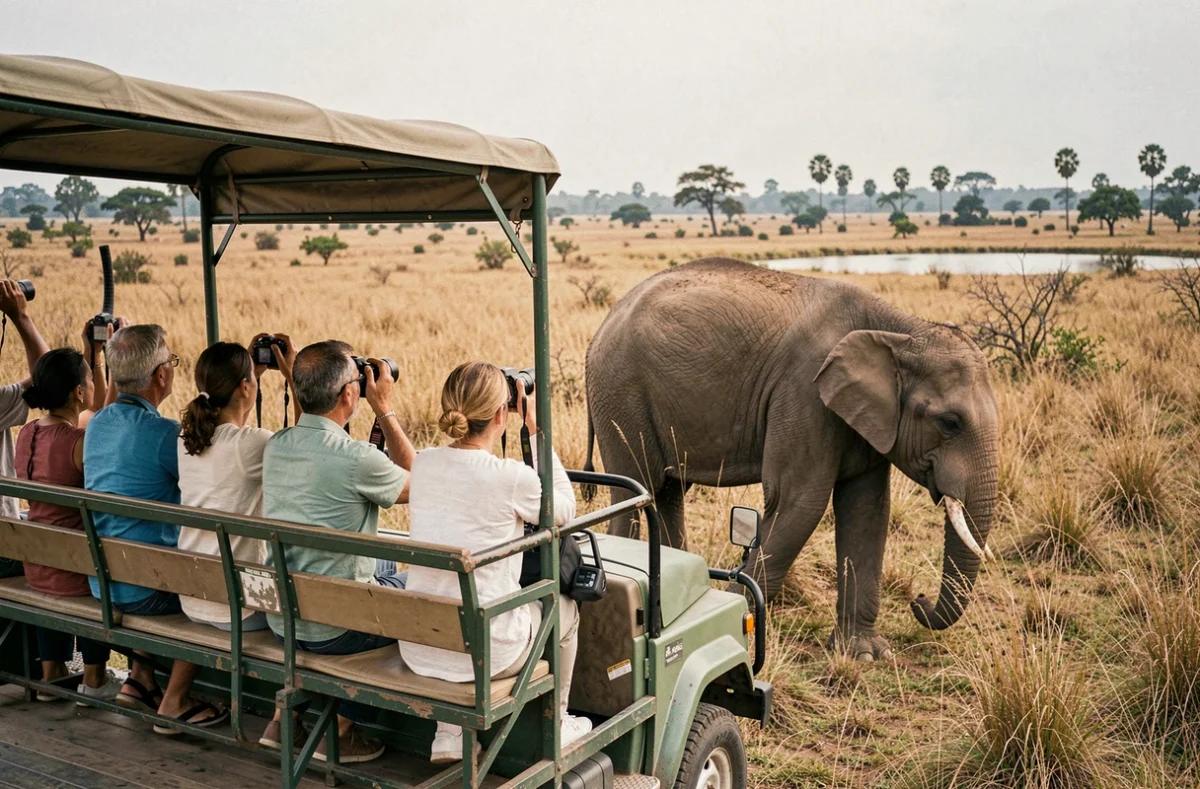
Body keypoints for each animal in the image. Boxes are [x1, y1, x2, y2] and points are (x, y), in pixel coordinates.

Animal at [583, 257, 999, 660]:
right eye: (950, 423)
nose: (919, 601)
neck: (901, 330)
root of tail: (600, 331)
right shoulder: (803, 392)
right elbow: (799, 503)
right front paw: (736, 627)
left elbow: (867, 511)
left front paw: (865, 655)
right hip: (620, 393)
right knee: (636, 491)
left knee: (668, 492)